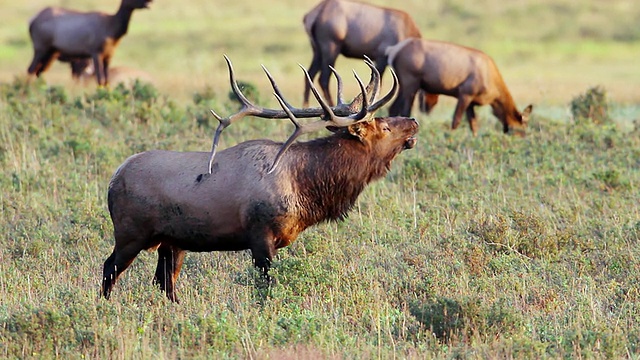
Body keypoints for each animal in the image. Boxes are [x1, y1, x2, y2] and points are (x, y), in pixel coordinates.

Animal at [100, 57, 420, 304]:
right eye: (385, 126)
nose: (414, 121)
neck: (306, 187)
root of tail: (114, 178)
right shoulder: (260, 234)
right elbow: (266, 285)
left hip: (171, 242)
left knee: (164, 282)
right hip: (131, 232)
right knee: (109, 268)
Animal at [388, 37, 532, 136]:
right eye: (521, 128)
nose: (521, 139)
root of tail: (393, 51)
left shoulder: (471, 102)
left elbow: (473, 125)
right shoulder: (465, 93)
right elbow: (456, 121)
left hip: (402, 84)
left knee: (393, 107)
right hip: (410, 83)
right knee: (405, 110)